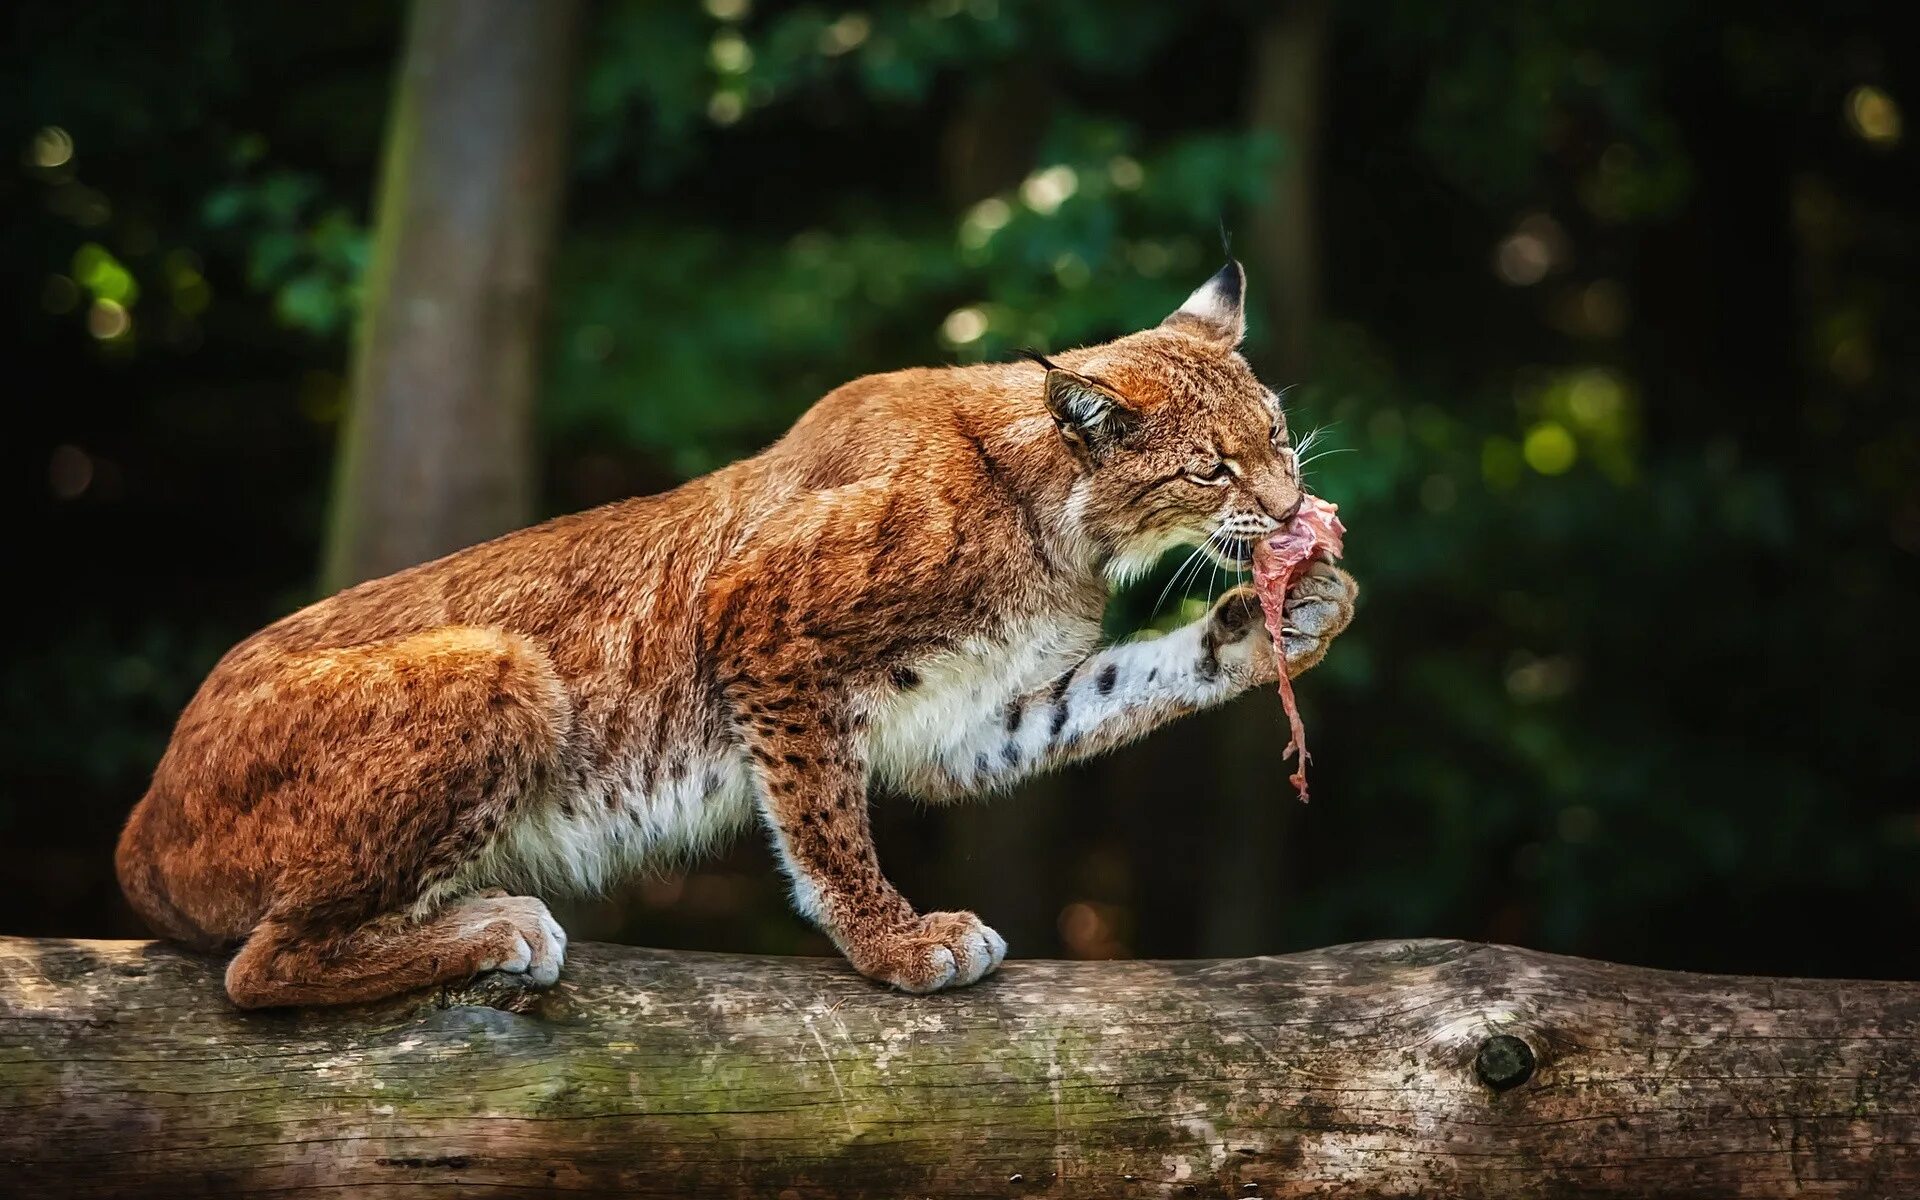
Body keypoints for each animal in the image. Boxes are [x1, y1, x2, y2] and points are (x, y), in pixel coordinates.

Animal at [116, 261, 1351, 998]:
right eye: (1211, 469)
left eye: (1274, 432)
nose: (1294, 507)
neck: (1064, 530)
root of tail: (143, 814)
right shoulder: (761, 619)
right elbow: (822, 819)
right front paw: (893, 942)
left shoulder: (972, 717)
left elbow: (1114, 688)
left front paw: (1277, 623)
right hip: (499, 658)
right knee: (255, 968)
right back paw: (491, 929)